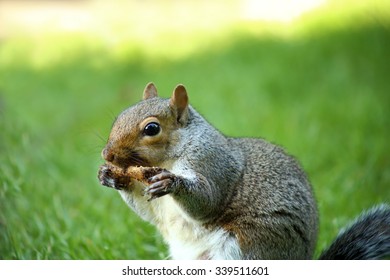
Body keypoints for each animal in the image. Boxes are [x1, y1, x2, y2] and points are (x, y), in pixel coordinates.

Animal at [98, 82, 390, 260]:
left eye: (152, 129)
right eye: (119, 118)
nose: (107, 155)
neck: (170, 157)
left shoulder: (213, 163)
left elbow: (208, 201)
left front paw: (171, 182)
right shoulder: (156, 206)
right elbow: (148, 212)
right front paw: (109, 176)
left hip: (247, 247)